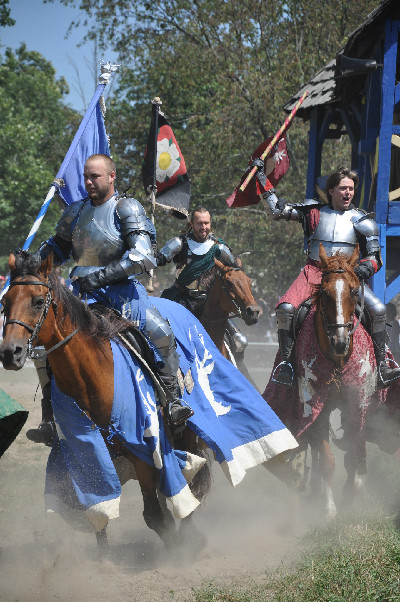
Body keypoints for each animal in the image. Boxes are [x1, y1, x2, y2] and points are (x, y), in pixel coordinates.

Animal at [0, 247, 211, 552]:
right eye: (5, 302)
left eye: (39, 301)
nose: (9, 352)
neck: (93, 379)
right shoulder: (87, 457)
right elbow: (98, 514)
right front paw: (104, 561)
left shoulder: (144, 454)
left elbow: (155, 515)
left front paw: (177, 551)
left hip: (183, 436)